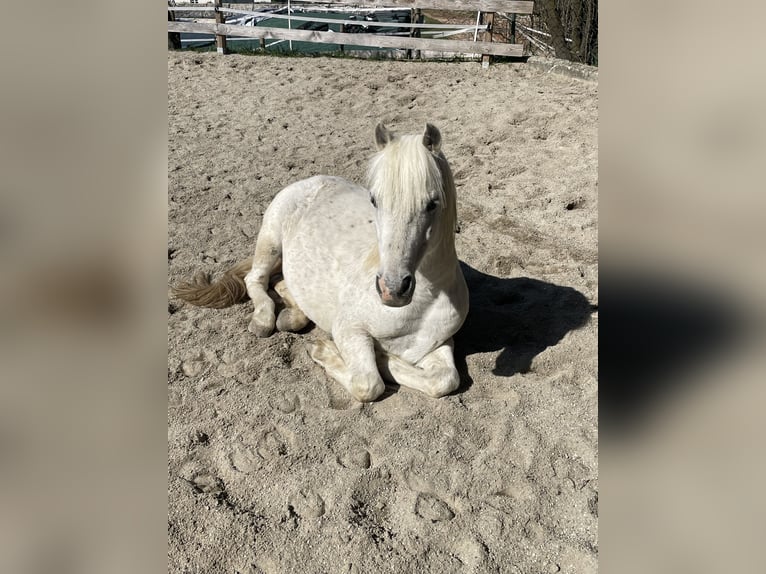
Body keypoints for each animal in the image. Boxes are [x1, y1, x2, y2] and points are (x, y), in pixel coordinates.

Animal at [173, 123, 469, 402]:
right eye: (374, 200)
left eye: (432, 203)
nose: (393, 289)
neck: (417, 306)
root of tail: (312, 180)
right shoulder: (349, 330)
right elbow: (368, 384)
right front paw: (327, 350)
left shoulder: (439, 343)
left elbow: (445, 379)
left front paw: (383, 358)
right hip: (270, 240)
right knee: (255, 280)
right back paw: (264, 319)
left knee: (281, 283)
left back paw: (292, 316)